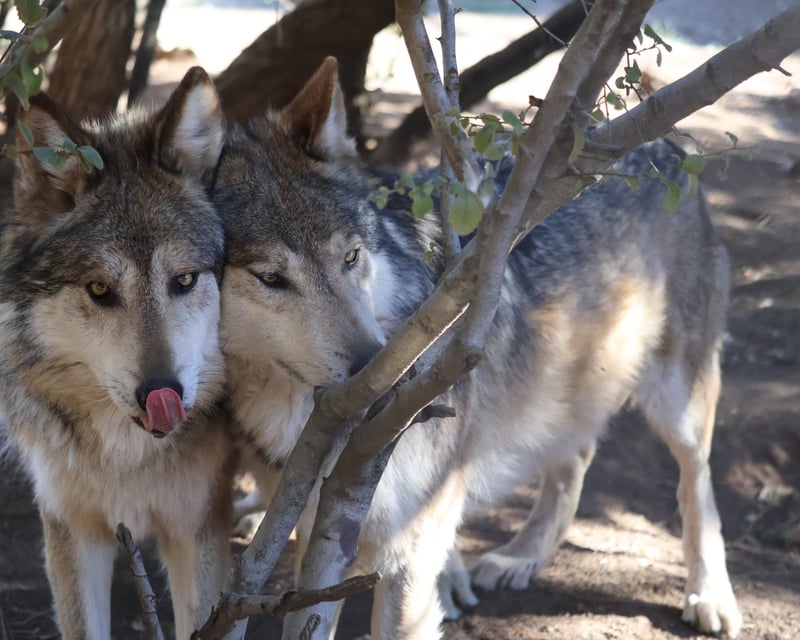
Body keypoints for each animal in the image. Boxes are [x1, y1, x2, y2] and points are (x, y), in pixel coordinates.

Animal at [0, 68, 234, 640]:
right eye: (101, 289)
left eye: (184, 280)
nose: (162, 393)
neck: (129, 457)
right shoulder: (72, 527)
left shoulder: (197, 527)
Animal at [215, 58, 742, 638]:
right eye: (270, 278)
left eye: (350, 257)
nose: (383, 377)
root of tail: (661, 144)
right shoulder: (320, 543)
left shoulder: (407, 551)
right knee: (575, 458)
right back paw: (520, 557)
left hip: (678, 403)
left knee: (696, 483)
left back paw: (710, 594)